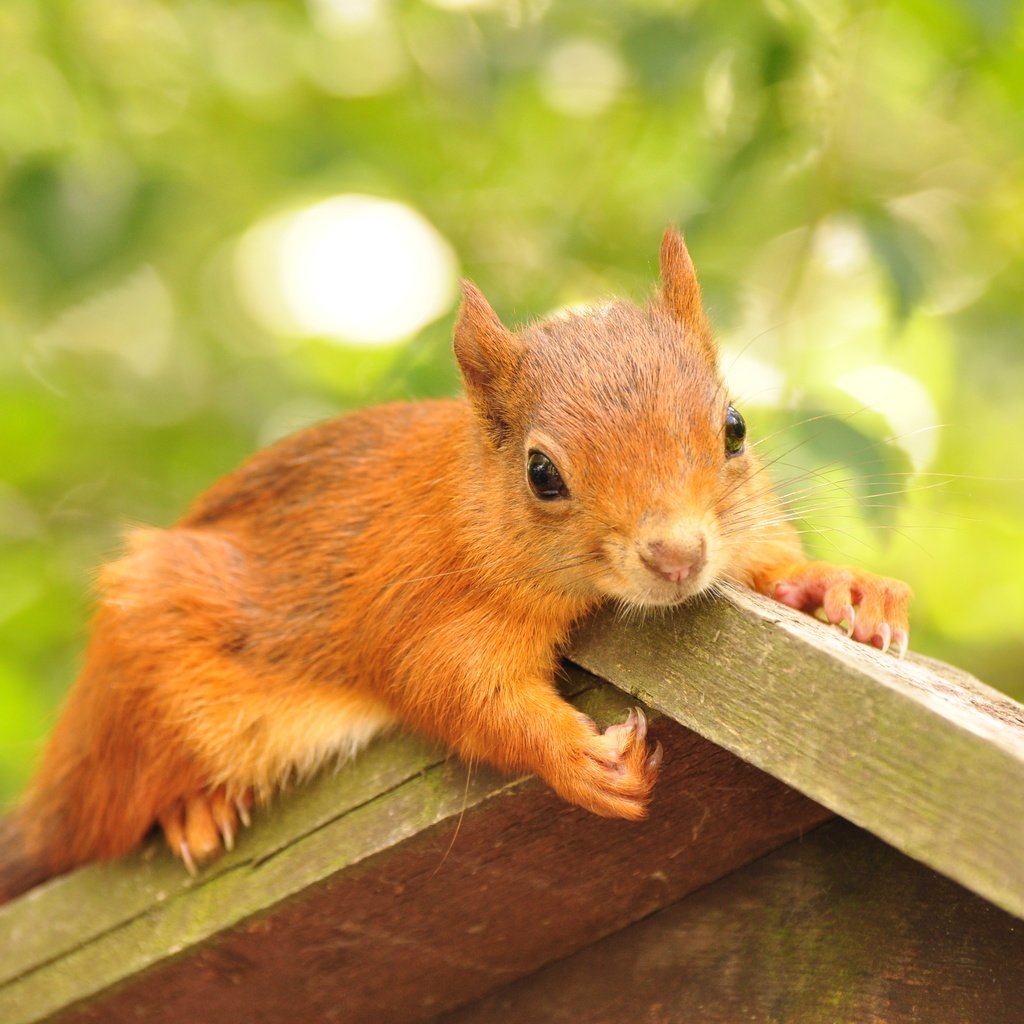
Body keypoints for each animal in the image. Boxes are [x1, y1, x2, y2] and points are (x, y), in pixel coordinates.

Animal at [0, 228, 913, 901]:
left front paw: (846, 586)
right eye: (542, 473)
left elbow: (771, 567)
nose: (677, 556)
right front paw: (576, 758)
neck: (472, 507)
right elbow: (455, 690)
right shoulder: (427, 604)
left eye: (734, 428)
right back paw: (194, 810)